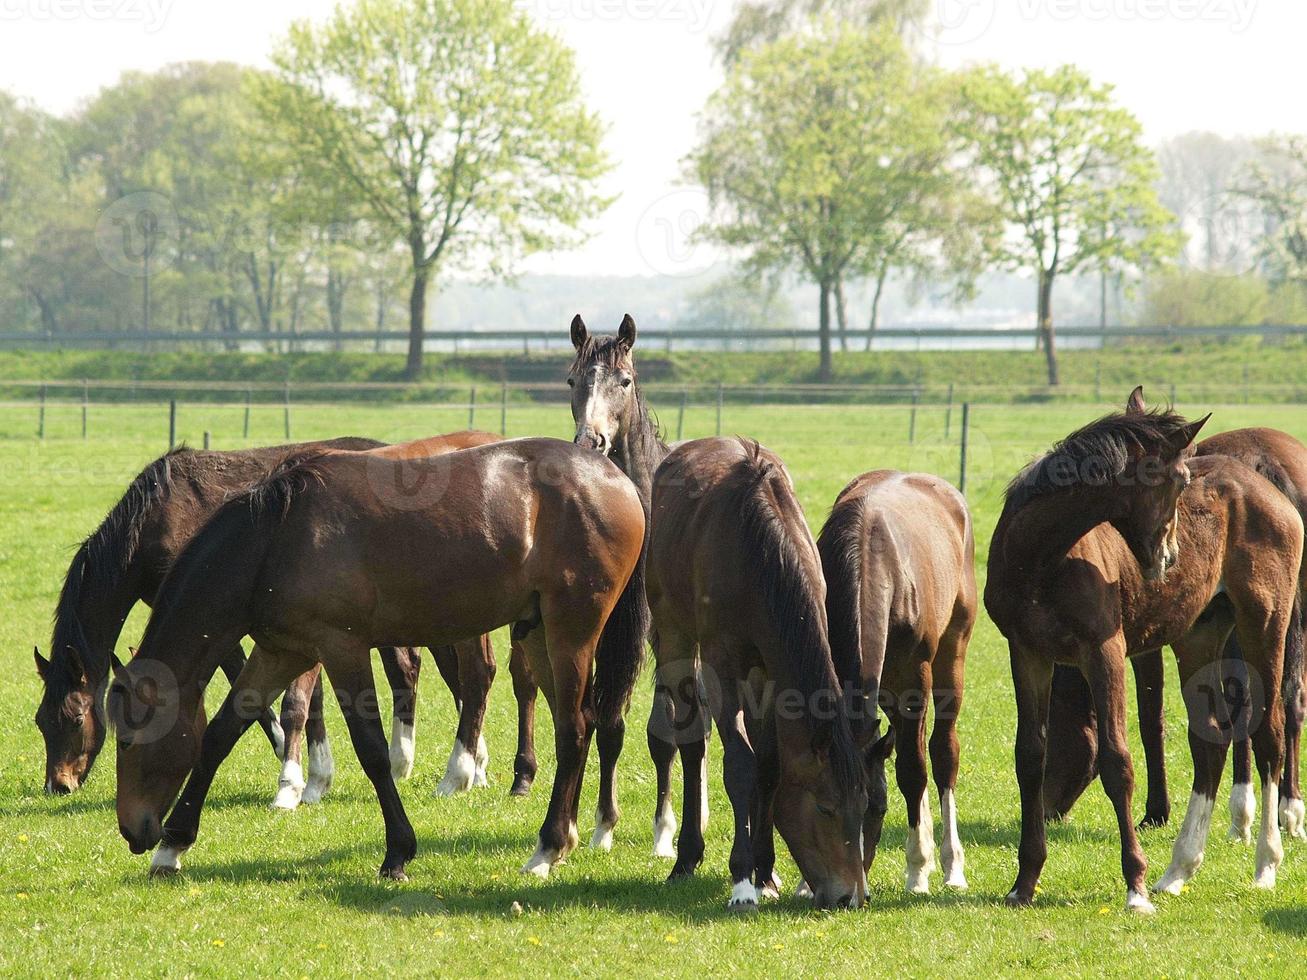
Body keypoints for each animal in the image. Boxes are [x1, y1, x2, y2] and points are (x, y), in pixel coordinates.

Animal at [108, 436, 648, 883]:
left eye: (128, 740)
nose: (133, 831)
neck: (275, 537)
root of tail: (616, 479)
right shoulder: (282, 651)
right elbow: (221, 734)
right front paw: (173, 846)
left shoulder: (342, 649)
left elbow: (371, 750)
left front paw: (398, 852)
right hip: (537, 633)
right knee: (578, 723)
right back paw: (568, 836)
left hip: (571, 632)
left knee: (573, 729)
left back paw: (547, 848)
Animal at [650, 436, 873, 914]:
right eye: (825, 808)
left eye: (864, 806)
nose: (851, 896)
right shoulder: (722, 666)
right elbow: (740, 764)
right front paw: (742, 881)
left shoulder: (771, 674)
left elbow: (769, 767)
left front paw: (765, 871)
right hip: (674, 631)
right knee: (692, 743)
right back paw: (686, 857)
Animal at [820, 473, 977, 893]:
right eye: (826, 807)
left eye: (877, 807)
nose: (854, 883)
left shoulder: (914, 679)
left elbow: (912, 771)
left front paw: (918, 869)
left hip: (950, 660)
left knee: (940, 753)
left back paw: (950, 866)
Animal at [1040, 415, 1307, 846]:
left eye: (1056, 739)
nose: (1045, 810)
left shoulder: (1143, 647)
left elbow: (1151, 719)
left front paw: (1156, 812)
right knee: (1288, 697)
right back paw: (1288, 810)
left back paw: (1243, 814)